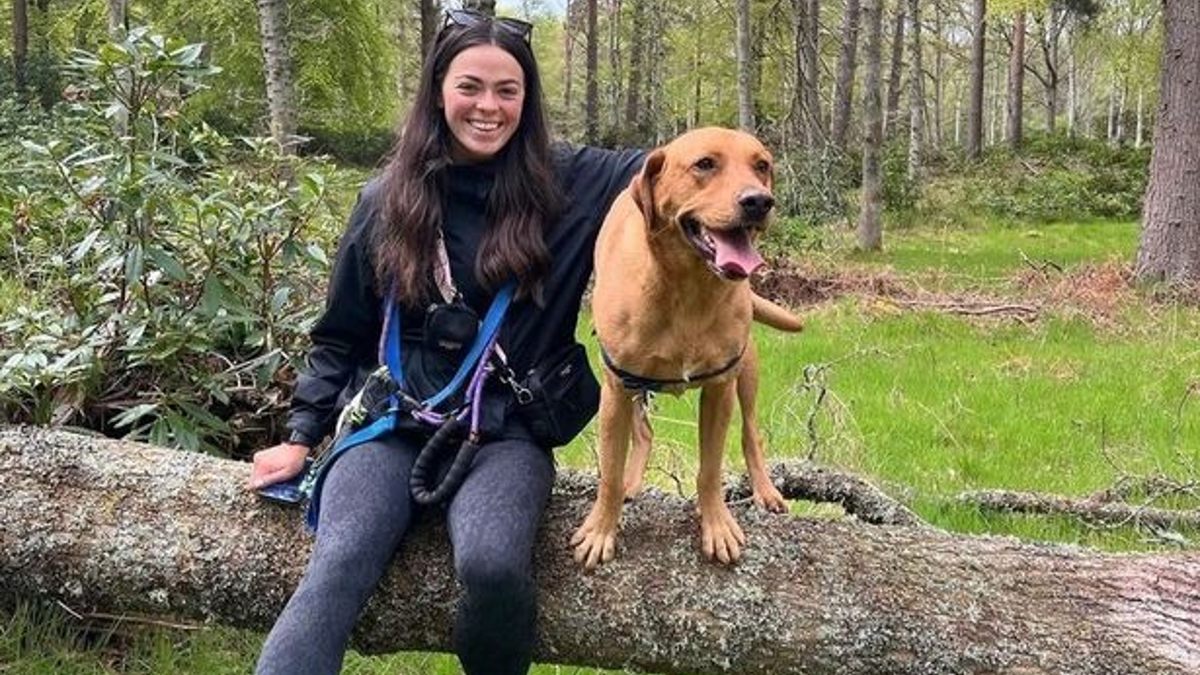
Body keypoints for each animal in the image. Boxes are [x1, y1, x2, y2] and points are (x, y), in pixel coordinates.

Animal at [571, 127, 803, 569]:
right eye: (705, 164)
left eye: (762, 165)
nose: (758, 201)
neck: (688, 291)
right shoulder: (615, 390)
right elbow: (609, 473)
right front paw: (600, 530)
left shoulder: (719, 388)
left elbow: (710, 470)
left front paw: (716, 525)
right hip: (636, 388)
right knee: (643, 433)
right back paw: (632, 481)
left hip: (747, 370)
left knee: (751, 432)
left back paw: (765, 490)